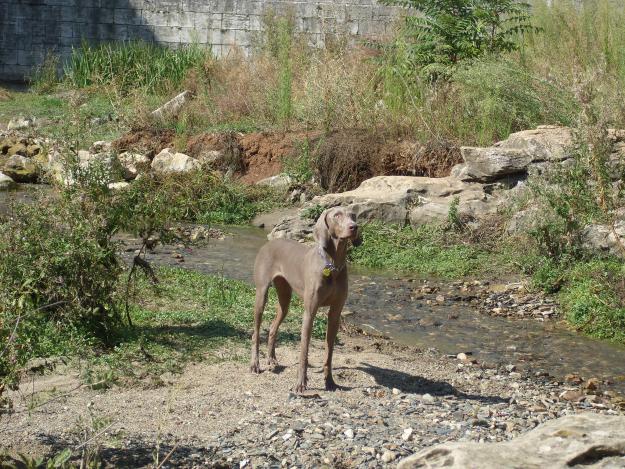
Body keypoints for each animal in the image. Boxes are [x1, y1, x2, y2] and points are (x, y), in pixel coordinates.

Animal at [249, 205, 360, 392]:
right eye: (337, 215)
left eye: (353, 215)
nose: (354, 227)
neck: (332, 265)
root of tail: (269, 243)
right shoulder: (310, 312)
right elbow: (304, 351)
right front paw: (301, 383)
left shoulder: (335, 314)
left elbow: (329, 352)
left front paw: (330, 381)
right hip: (261, 294)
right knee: (256, 332)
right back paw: (255, 364)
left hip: (284, 299)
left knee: (272, 327)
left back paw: (271, 359)